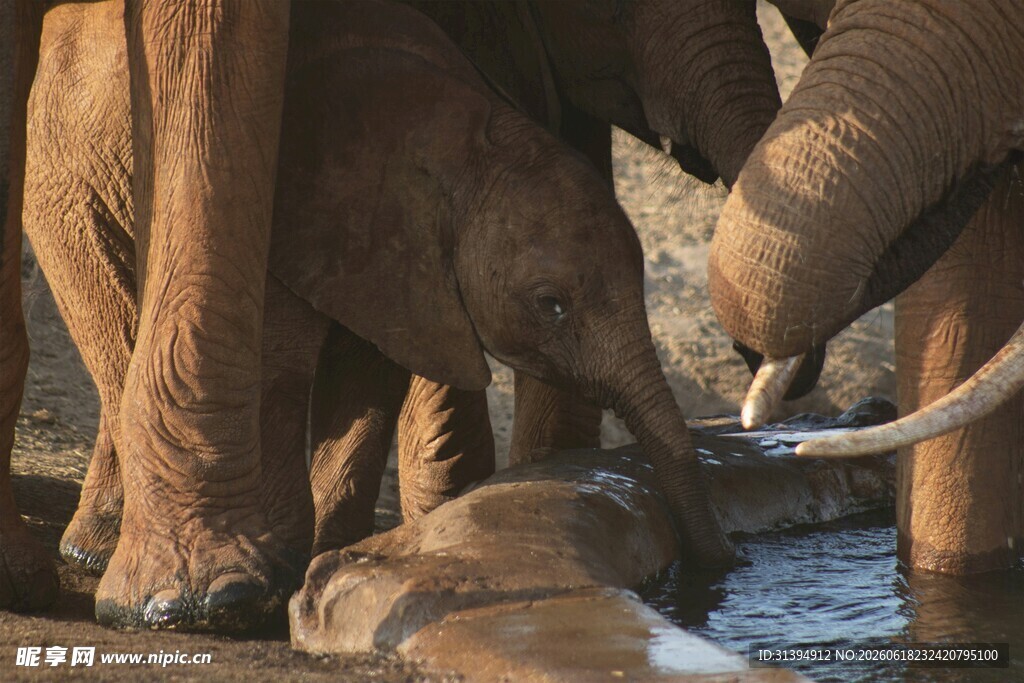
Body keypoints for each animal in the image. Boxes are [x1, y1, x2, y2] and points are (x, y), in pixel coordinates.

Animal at [17, 0, 734, 629]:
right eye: (550, 305)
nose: (723, 566)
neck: (465, 134)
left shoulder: (391, 260)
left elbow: (371, 371)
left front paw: (322, 561)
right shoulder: (299, 216)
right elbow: (281, 365)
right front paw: (279, 580)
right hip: (63, 180)